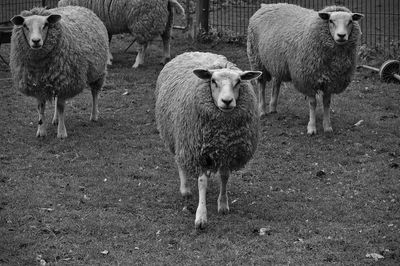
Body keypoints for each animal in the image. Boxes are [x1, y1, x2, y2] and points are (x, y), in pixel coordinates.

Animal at [10, 6, 109, 138]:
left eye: (46, 25)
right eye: (25, 26)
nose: (36, 41)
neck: (39, 66)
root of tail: (78, 7)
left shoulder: (65, 83)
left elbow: (61, 107)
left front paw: (62, 132)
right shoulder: (38, 85)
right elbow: (41, 108)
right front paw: (41, 131)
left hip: (97, 71)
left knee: (95, 93)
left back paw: (94, 115)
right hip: (57, 78)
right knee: (56, 99)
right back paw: (55, 119)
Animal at [156, 52, 262, 229]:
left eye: (238, 82)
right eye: (213, 81)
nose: (227, 101)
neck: (222, 133)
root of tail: (193, 52)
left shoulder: (227, 152)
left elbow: (224, 177)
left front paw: (223, 204)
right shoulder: (199, 152)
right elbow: (202, 182)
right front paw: (201, 216)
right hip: (179, 137)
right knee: (180, 161)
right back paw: (185, 189)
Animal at [247, 3, 362, 134]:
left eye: (350, 21)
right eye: (331, 21)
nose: (341, 36)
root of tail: (267, 5)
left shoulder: (330, 81)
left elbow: (327, 103)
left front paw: (327, 126)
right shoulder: (308, 79)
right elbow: (312, 103)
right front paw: (311, 127)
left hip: (277, 62)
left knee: (276, 83)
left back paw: (273, 108)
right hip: (257, 59)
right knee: (262, 85)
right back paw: (262, 110)